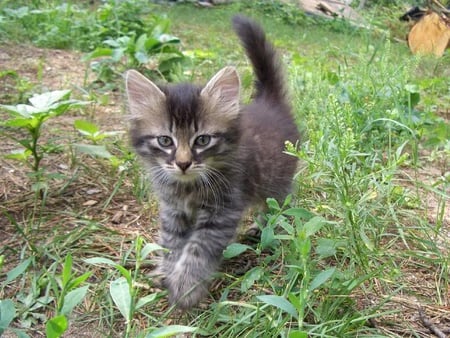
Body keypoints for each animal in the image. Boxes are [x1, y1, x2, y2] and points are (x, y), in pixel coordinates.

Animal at [124, 14, 298, 308]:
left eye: (202, 140)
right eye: (165, 141)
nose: (183, 163)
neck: (187, 187)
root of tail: (270, 102)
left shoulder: (222, 212)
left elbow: (197, 251)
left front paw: (185, 288)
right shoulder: (173, 211)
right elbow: (172, 245)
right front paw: (167, 273)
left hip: (277, 181)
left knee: (276, 206)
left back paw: (263, 229)